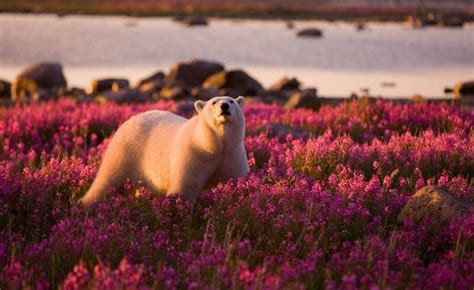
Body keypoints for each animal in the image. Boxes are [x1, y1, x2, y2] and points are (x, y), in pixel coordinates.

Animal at [78, 95, 248, 208]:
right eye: (213, 102)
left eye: (232, 101)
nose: (224, 106)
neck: (214, 145)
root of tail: (130, 120)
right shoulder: (194, 155)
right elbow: (184, 188)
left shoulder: (233, 156)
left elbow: (237, 183)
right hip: (125, 150)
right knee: (107, 179)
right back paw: (85, 203)